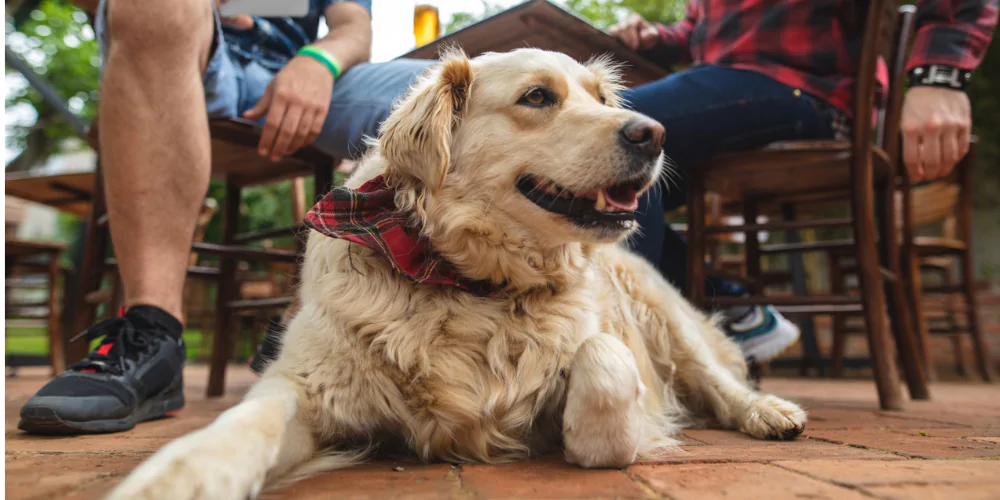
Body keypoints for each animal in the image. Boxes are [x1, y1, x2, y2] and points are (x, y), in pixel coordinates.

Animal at [107, 47, 804, 500]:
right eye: (537, 97)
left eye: (602, 98)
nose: (655, 134)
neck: (472, 284)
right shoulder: (305, 383)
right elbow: (240, 425)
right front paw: (180, 477)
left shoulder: (605, 348)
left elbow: (604, 366)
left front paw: (596, 432)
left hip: (664, 315)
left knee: (718, 380)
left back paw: (768, 411)